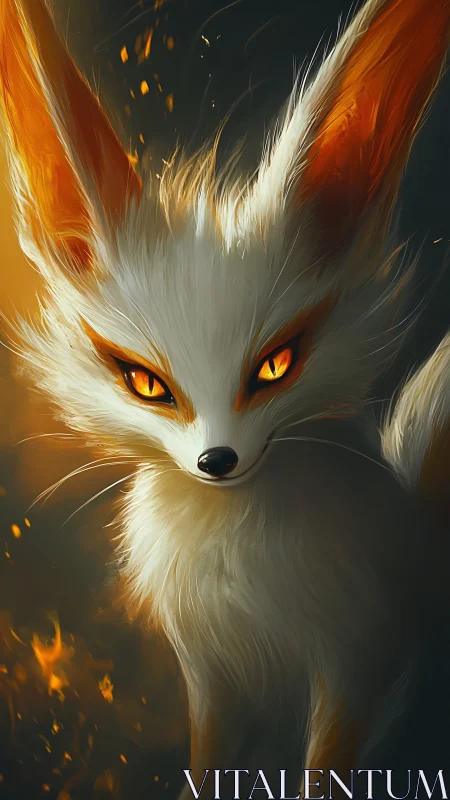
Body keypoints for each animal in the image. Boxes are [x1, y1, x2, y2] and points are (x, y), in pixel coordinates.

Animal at [1, 0, 450, 793]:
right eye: (146, 383)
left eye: (276, 366)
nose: (218, 460)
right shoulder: (210, 677)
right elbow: (209, 762)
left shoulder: (356, 664)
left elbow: (325, 772)